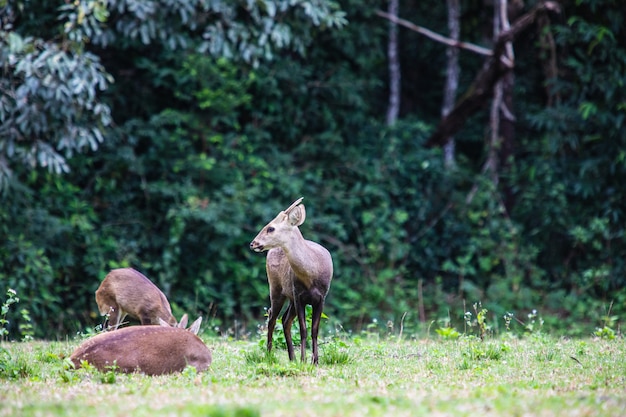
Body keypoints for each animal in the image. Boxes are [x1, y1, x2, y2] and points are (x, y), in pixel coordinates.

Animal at [249, 197, 332, 362]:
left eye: (271, 228)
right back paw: (269, 355)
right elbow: (303, 329)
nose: (253, 243)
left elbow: (314, 330)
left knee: (285, 320)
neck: (311, 275)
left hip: (290, 298)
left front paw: (314, 360)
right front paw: (304, 360)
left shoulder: (321, 297)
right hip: (276, 288)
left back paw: (291, 357)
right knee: (272, 318)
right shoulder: (299, 295)